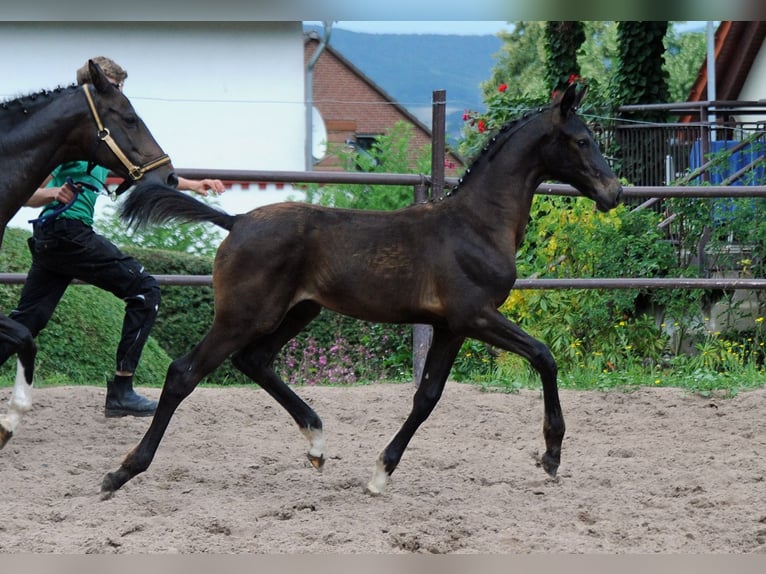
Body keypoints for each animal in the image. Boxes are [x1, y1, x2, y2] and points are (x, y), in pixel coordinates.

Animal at [102, 84, 624, 500]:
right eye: (582, 140)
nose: (614, 192)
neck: (477, 224)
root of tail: (236, 220)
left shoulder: (449, 327)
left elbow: (427, 397)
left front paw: (380, 473)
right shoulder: (474, 315)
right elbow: (543, 356)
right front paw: (551, 454)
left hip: (299, 311)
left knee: (254, 361)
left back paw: (316, 444)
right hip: (243, 316)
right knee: (183, 373)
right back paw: (121, 472)